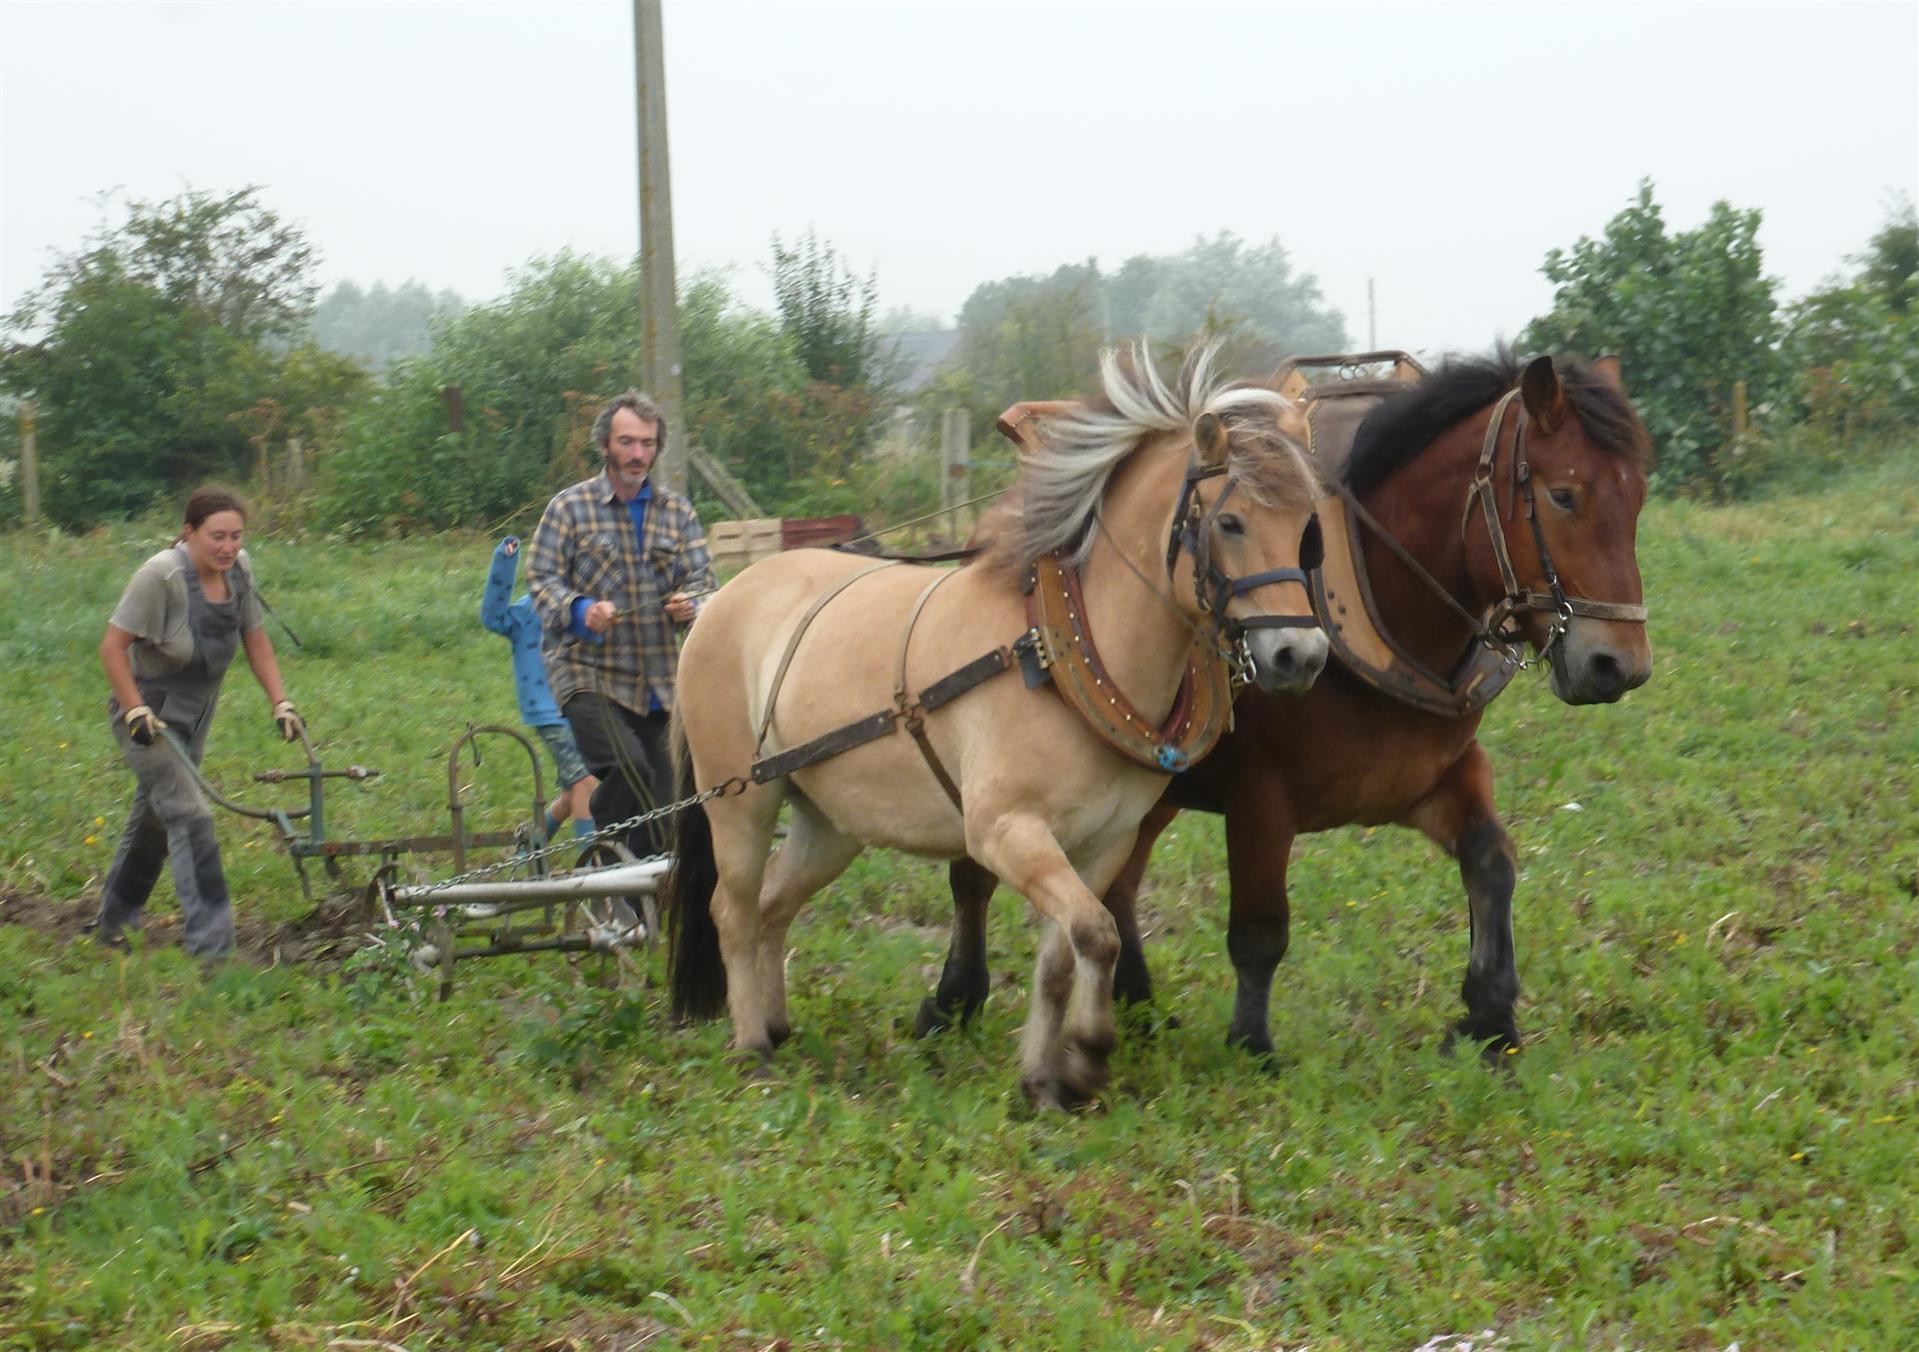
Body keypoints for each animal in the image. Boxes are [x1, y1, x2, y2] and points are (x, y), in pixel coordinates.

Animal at [675, 339, 1335, 1104]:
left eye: (1308, 530)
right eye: (1229, 522)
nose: (1299, 656)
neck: (1061, 647)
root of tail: (718, 600)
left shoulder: (1103, 841)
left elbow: (1067, 951)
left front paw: (1046, 1078)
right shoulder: (1004, 830)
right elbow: (1098, 933)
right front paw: (1087, 1051)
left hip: (828, 820)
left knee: (775, 901)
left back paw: (778, 1025)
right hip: (741, 800)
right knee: (733, 908)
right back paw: (752, 1045)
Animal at [913, 350, 1650, 1066]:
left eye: (1639, 496)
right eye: (1562, 496)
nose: (1619, 665)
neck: (1382, 599)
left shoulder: (1434, 777)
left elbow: (1492, 862)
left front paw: (1489, 1020)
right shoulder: (1260, 798)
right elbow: (1260, 925)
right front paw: (1252, 1044)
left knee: (1116, 883)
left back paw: (1138, 1004)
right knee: (973, 876)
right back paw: (954, 1002)